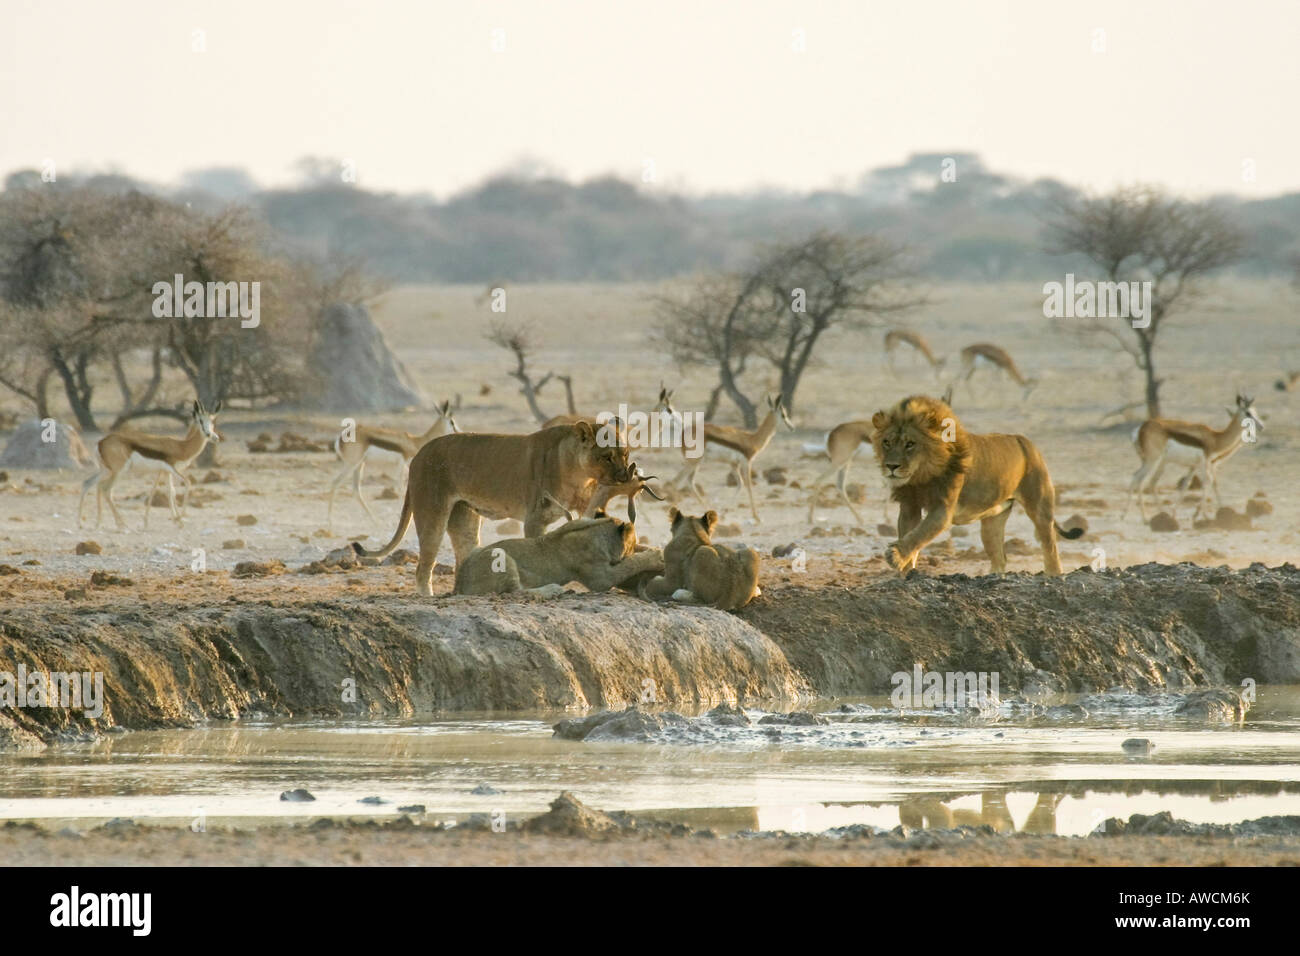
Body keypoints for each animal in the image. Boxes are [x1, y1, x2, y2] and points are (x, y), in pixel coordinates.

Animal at [353, 424, 637, 595]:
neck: (579, 475)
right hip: (432, 513)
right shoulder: (535, 518)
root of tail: (419, 454)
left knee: (464, 557)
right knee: (423, 569)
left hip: (465, 518)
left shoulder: (584, 510)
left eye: (625, 454)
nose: (624, 475)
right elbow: (540, 549)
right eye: (607, 456)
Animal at [454, 512, 660, 595]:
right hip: (499, 556)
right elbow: (631, 563)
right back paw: (553, 589)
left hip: (476, 550)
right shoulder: (600, 578)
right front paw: (656, 556)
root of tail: (459, 582)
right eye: (630, 544)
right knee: (516, 592)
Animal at [873, 395, 1086, 574]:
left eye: (910, 444)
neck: (921, 476)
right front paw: (906, 572)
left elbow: (919, 534)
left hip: (1040, 507)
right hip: (993, 520)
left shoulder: (943, 510)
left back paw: (1054, 575)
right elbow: (910, 536)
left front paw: (895, 556)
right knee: (1000, 557)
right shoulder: (909, 506)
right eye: (886, 442)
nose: (891, 466)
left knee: (1050, 548)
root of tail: (1025, 441)